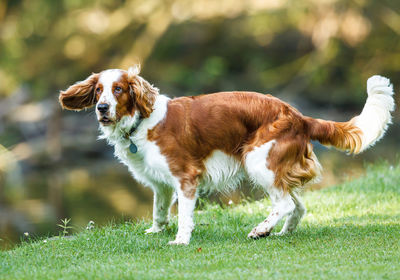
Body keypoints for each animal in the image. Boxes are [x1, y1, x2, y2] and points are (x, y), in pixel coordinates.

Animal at [57, 64, 396, 244]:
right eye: (98, 91)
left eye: (118, 89)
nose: (102, 108)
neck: (142, 120)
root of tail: (300, 116)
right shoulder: (161, 184)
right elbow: (158, 210)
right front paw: (155, 230)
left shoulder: (186, 177)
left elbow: (183, 215)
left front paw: (180, 240)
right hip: (272, 169)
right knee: (297, 205)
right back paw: (281, 232)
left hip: (258, 162)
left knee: (285, 203)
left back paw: (261, 229)